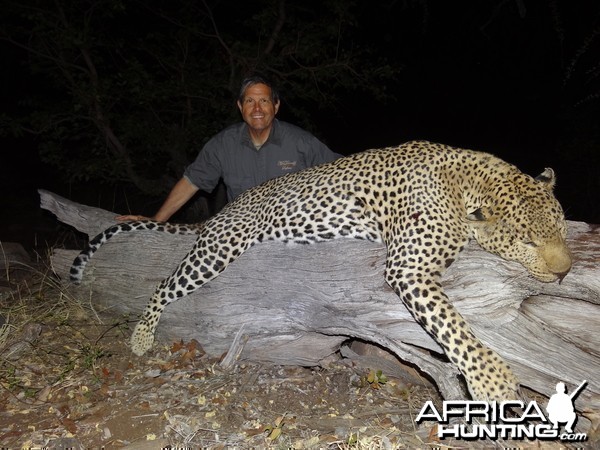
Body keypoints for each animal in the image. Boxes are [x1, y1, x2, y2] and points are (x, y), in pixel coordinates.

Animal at [70, 141, 572, 400]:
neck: (469, 182)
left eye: (561, 226)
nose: (565, 273)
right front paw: (495, 384)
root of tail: (223, 210)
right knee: (163, 283)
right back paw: (140, 338)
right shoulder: (408, 267)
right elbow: (457, 331)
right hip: (219, 248)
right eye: (527, 240)